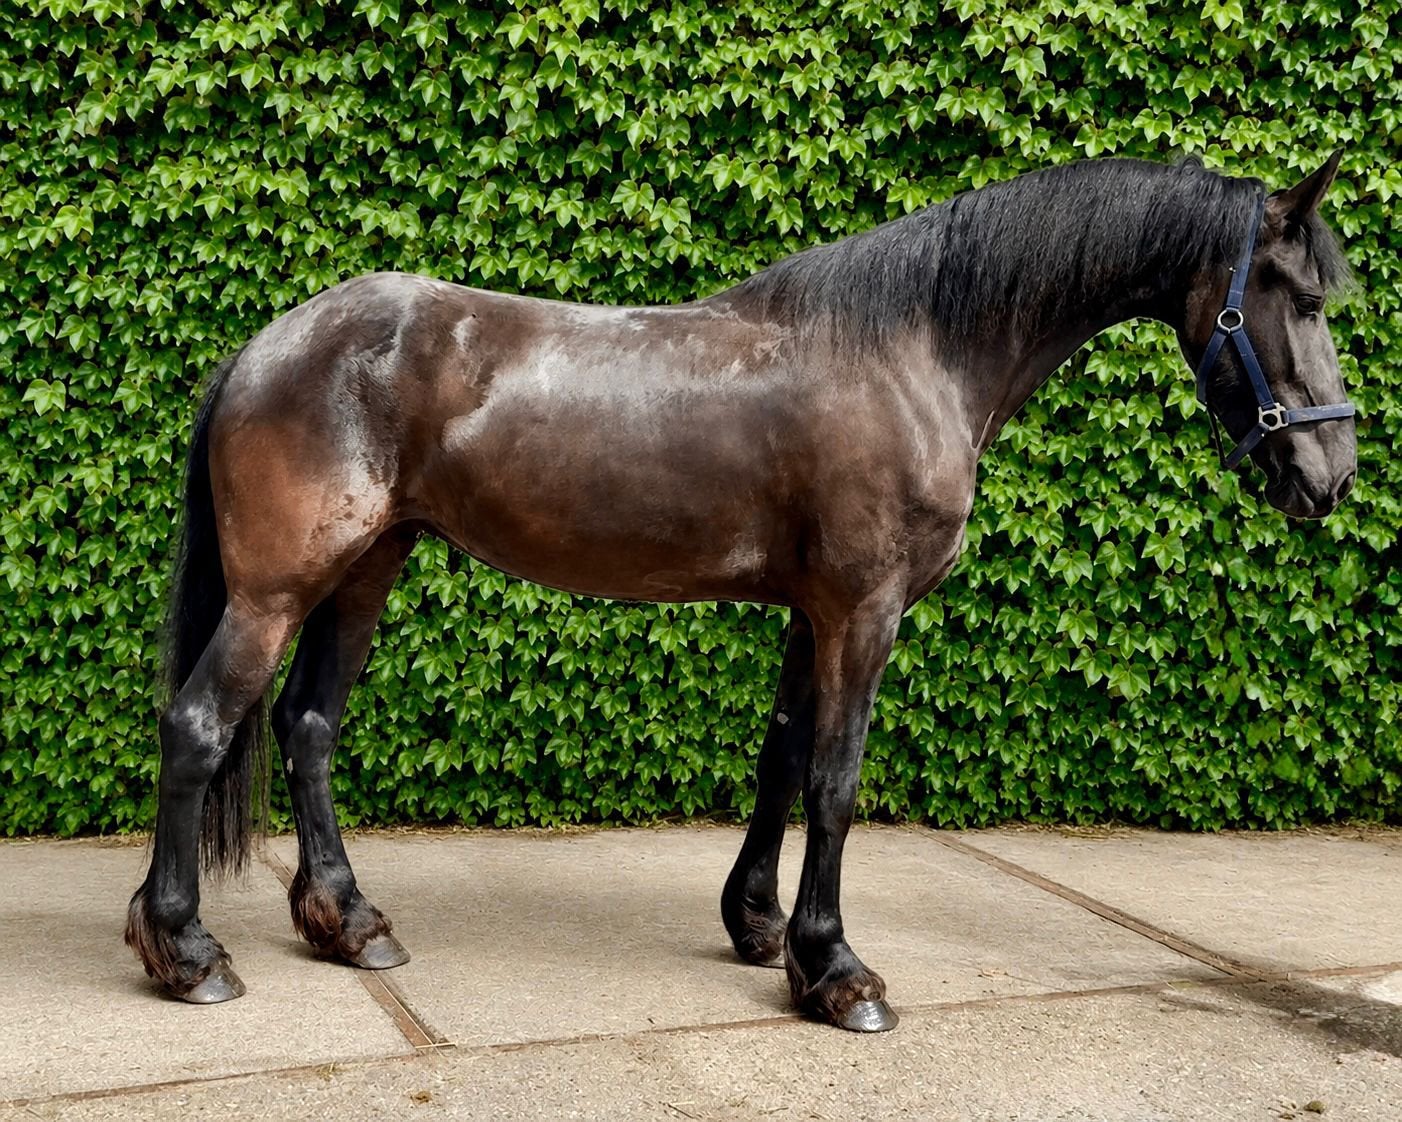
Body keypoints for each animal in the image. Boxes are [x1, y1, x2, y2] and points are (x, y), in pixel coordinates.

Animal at [126, 153, 1357, 1033]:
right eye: (1296, 297)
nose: (1329, 475)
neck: (912, 350)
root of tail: (264, 348)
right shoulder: (863, 610)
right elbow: (836, 780)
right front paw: (839, 973)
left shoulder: (813, 612)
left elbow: (782, 758)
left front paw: (763, 929)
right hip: (279, 588)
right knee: (199, 725)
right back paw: (186, 952)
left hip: (367, 569)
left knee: (307, 724)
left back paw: (348, 923)